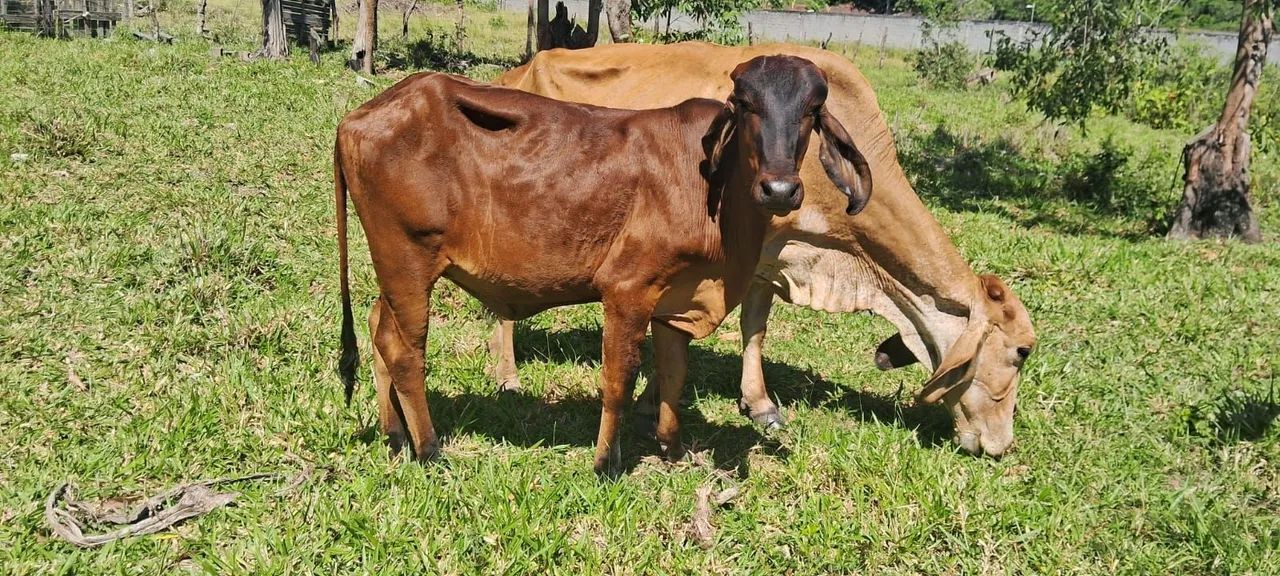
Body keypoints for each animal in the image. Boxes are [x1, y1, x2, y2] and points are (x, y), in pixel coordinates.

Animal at [335, 55, 874, 476]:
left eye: (813, 109)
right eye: (745, 104)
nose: (779, 190)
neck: (716, 194)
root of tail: (360, 116)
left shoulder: (675, 299)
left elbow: (674, 375)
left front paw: (672, 447)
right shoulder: (627, 289)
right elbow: (620, 379)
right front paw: (605, 462)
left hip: (397, 269)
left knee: (379, 330)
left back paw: (395, 435)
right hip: (408, 259)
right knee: (405, 351)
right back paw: (428, 449)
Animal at [490, 42, 1037, 459]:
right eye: (1020, 352)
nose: (1002, 445)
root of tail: (519, 68)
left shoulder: (769, 257)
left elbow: (751, 326)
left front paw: (755, 404)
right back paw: (507, 376)